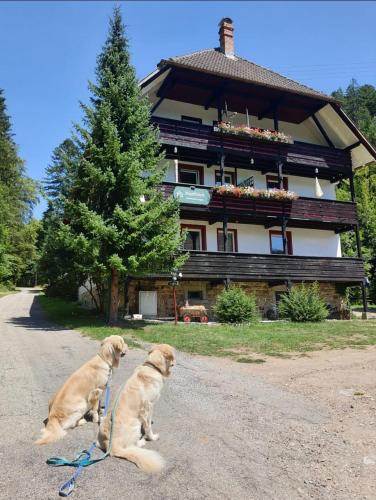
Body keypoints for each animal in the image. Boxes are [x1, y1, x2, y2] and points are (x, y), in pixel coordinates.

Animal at [35, 338, 176, 474]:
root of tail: (112, 448)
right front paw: (152, 437)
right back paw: (141, 441)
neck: (152, 367)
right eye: (123, 342)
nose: (127, 346)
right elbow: (148, 427)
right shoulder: (147, 407)